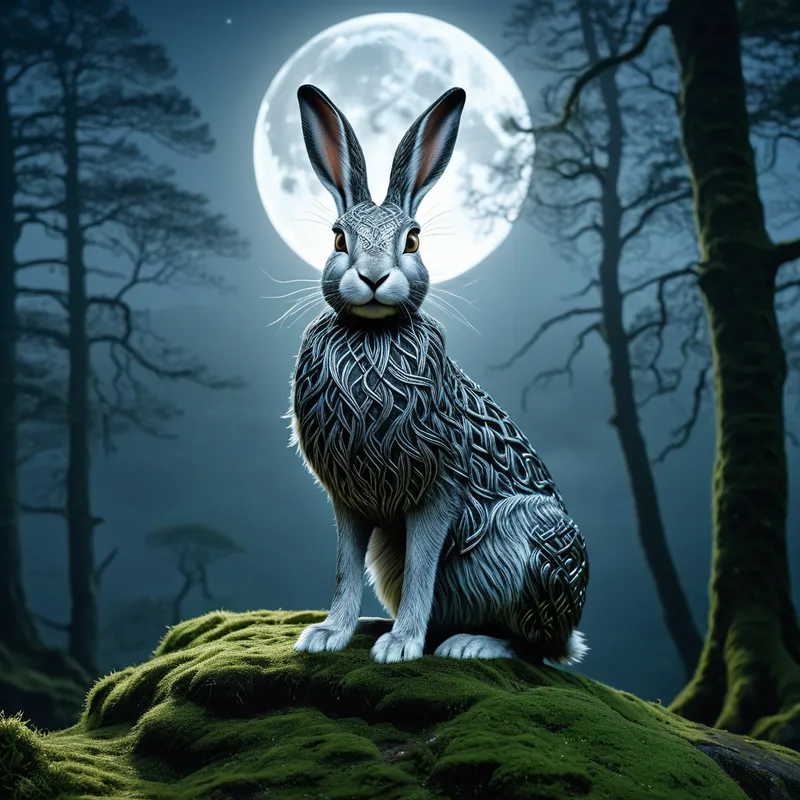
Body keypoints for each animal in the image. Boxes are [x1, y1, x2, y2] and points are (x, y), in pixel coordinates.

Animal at [290, 83, 589, 665]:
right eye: (338, 239)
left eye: (412, 241)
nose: (374, 277)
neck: (373, 338)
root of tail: (573, 631)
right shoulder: (348, 498)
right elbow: (344, 568)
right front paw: (327, 635)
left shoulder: (439, 489)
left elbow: (423, 568)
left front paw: (401, 646)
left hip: (532, 540)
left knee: (534, 647)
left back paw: (470, 645)